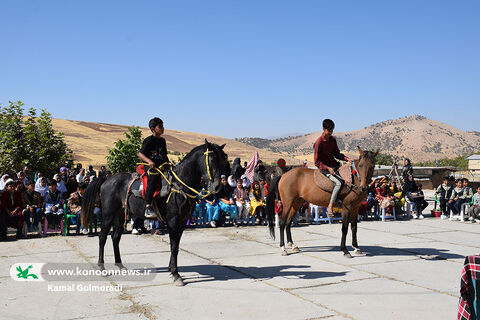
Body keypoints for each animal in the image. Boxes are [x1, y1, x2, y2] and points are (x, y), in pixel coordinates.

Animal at [81, 140, 231, 284]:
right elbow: (174, 246)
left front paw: (171, 269)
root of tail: (107, 179)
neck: (179, 185)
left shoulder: (182, 221)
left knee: (115, 237)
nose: (217, 186)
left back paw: (120, 265)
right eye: (212, 159)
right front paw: (175, 274)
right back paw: (102, 267)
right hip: (108, 214)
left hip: (120, 214)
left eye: (223, 160)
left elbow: (176, 246)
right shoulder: (173, 221)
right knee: (102, 237)